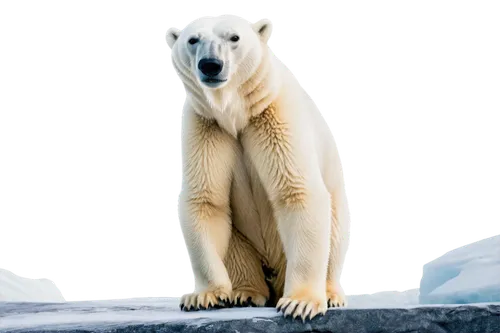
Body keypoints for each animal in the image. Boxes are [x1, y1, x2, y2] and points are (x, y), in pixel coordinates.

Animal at [165, 14, 352, 320]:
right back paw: (245, 293)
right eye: (193, 40)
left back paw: (329, 294)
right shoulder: (206, 125)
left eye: (234, 38)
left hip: (335, 217)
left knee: (333, 238)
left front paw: (300, 303)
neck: (237, 112)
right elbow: (206, 201)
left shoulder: (275, 114)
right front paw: (204, 295)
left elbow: (298, 192)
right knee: (236, 248)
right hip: (243, 242)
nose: (210, 64)